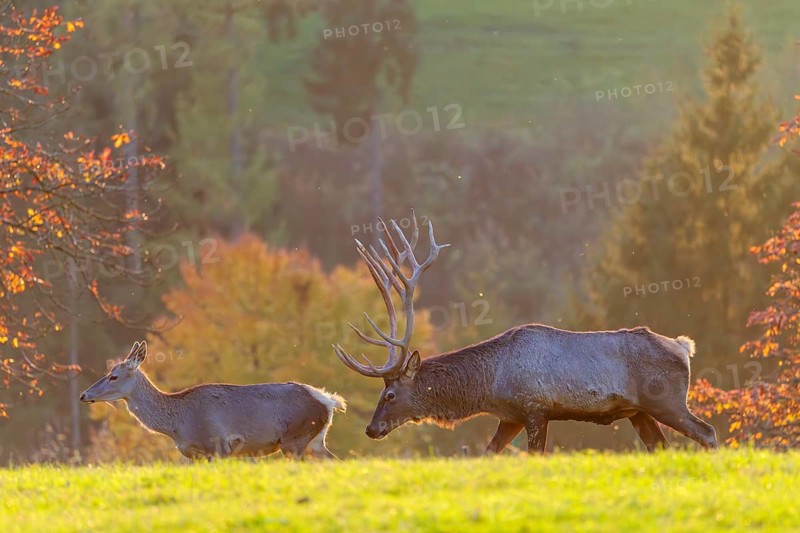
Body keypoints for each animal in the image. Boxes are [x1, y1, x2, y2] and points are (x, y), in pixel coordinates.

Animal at [80, 341, 346, 460]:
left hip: (296, 438)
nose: (84, 395)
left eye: (113, 376)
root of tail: (329, 401)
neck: (178, 425)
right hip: (315, 441)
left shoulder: (218, 446)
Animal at [333, 211, 718, 454]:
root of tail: (684, 346)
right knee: (662, 447)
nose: (371, 429)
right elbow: (487, 453)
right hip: (639, 412)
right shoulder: (511, 417)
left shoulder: (535, 407)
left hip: (666, 400)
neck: (490, 384)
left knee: (708, 432)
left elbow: (535, 455)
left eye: (390, 394)